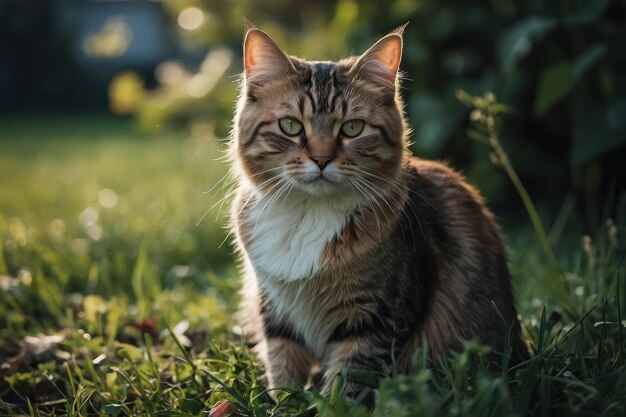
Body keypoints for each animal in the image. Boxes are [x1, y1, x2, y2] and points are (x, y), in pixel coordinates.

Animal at [229, 24, 528, 394]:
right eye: (290, 126)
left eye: (352, 128)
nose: (322, 159)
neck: (309, 214)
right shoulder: (276, 311)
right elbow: (284, 371)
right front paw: (283, 401)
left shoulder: (376, 318)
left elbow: (346, 384)